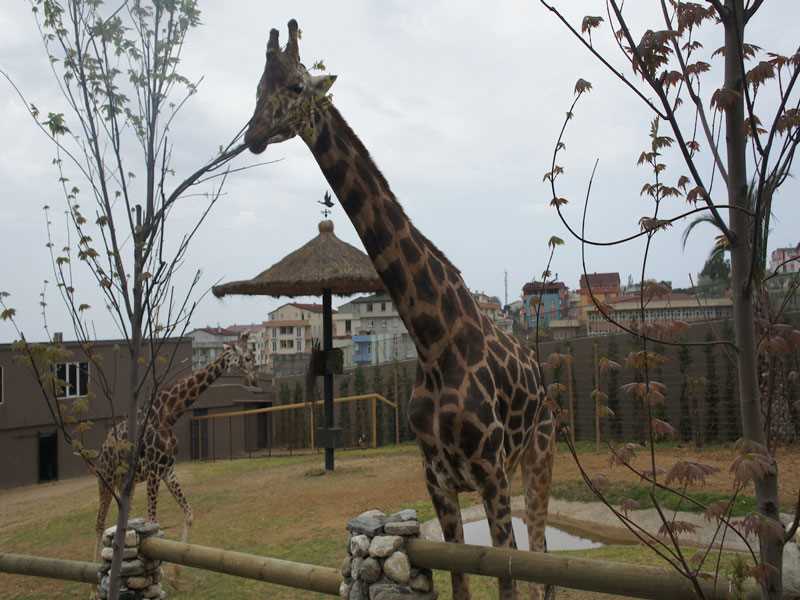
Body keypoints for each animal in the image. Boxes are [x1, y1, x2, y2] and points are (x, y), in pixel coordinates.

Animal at [93, 332, 256, 556]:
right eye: (247, 357)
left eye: (254, 356)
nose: (254, 380)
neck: (169, 415)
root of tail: (101, 450)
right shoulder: (154, 471)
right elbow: (153, 522)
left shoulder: (167, 470)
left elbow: (189, 514)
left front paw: (182, 556)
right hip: (106, 479)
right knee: (99, 522)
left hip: (127, 483)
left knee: (120, 520)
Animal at [244, 21, 556, 596]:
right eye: (258, 87)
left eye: (296, 86)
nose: (252, 134)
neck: (435, 339)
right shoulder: (437, 478)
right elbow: (459, 579)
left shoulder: (492, 473)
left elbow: (509, 576)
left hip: (539, 451)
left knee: (543, 554)